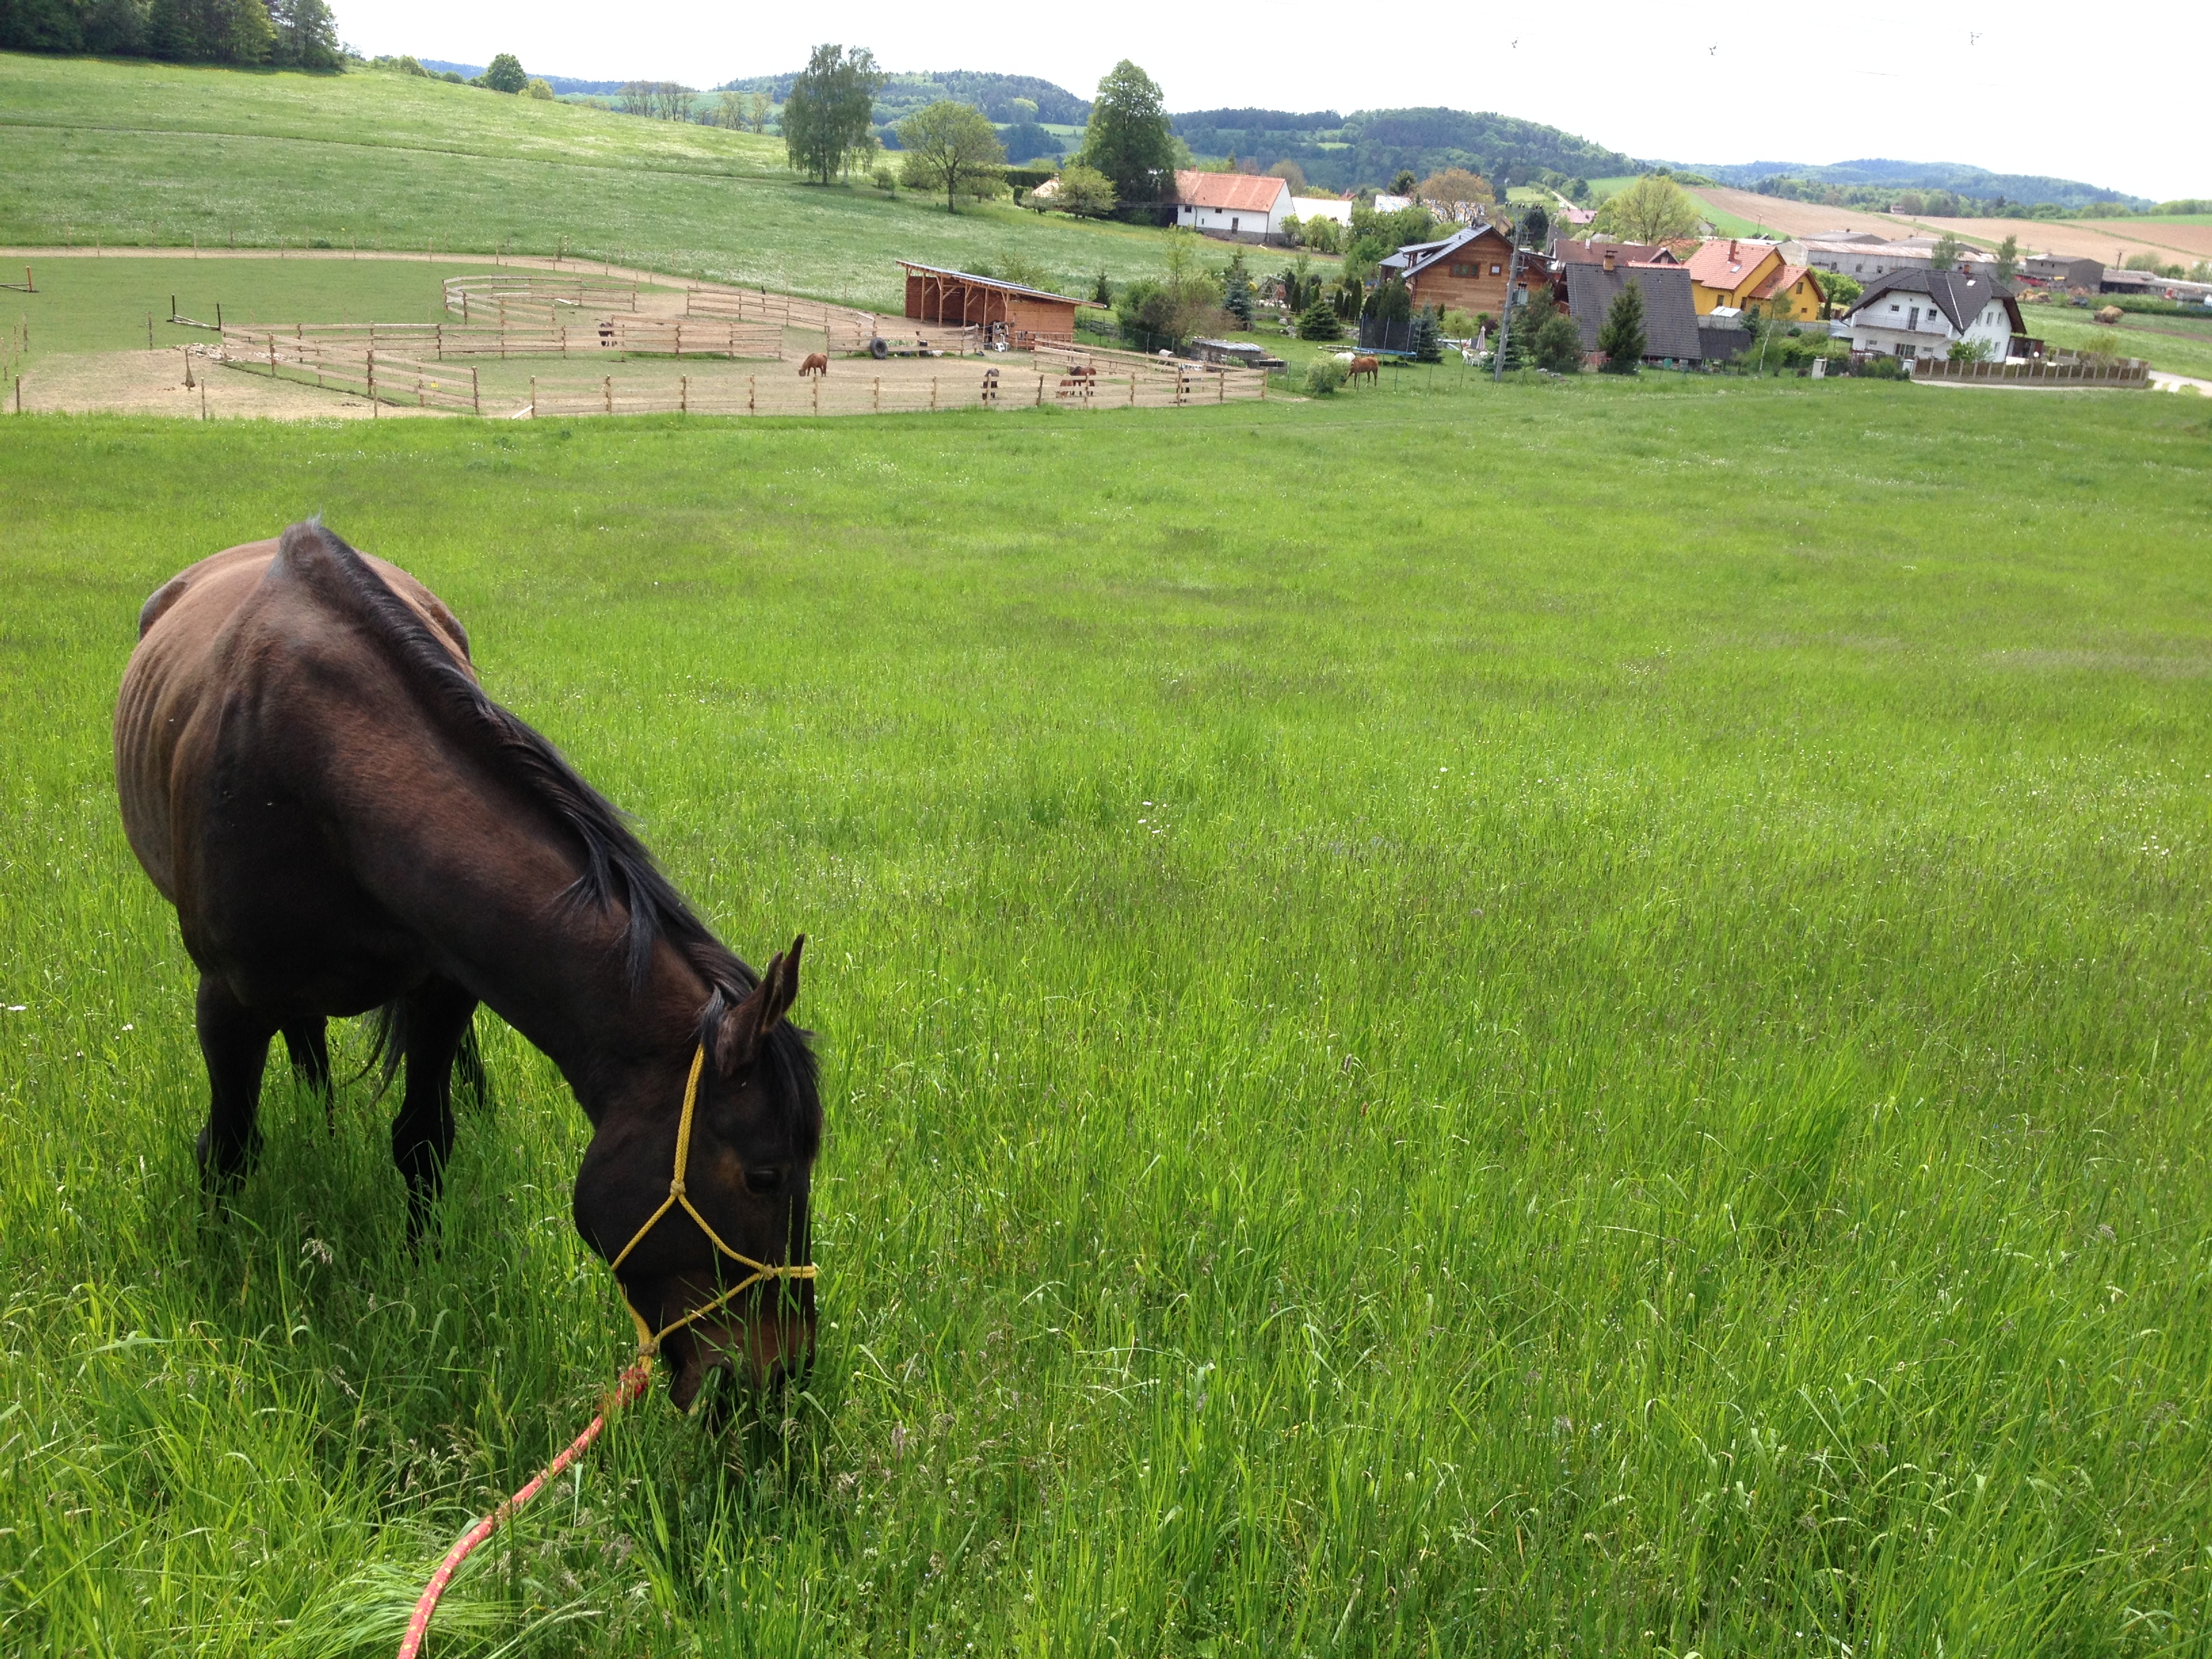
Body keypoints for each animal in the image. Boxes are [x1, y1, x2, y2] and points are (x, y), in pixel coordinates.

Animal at [114, 522, 820, 1409]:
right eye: (764, 1177)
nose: (784, 1376)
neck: (329, 773)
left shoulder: (443, 989)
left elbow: (423, 1137)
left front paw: (424, 1269)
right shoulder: (227, 1001)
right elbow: (230, 1148)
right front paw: (221, 1264)